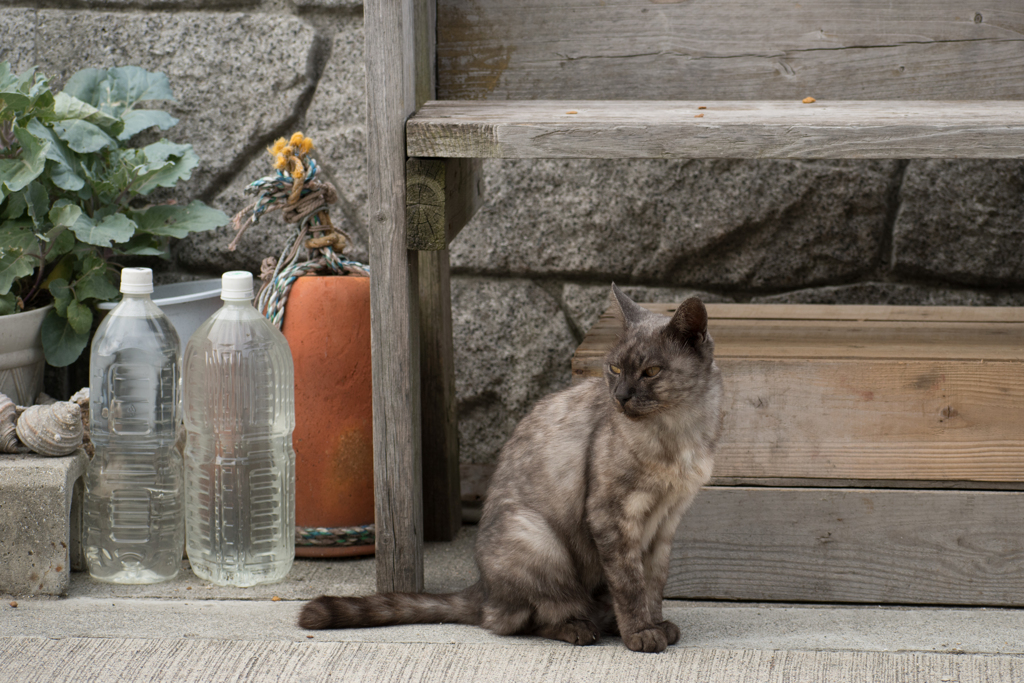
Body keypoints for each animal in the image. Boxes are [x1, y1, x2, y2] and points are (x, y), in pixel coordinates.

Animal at [299, 286, 724, 655]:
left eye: (651, 372)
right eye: (615, 368)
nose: (620, 397)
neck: (677, 432)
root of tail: (481, 587)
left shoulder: (666, 522)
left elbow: (653, 583)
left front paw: (657, 624)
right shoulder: (612, 516)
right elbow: (630, 584)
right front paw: (640, 634)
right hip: (538, 539)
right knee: (524, 618)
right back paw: (581, 628)